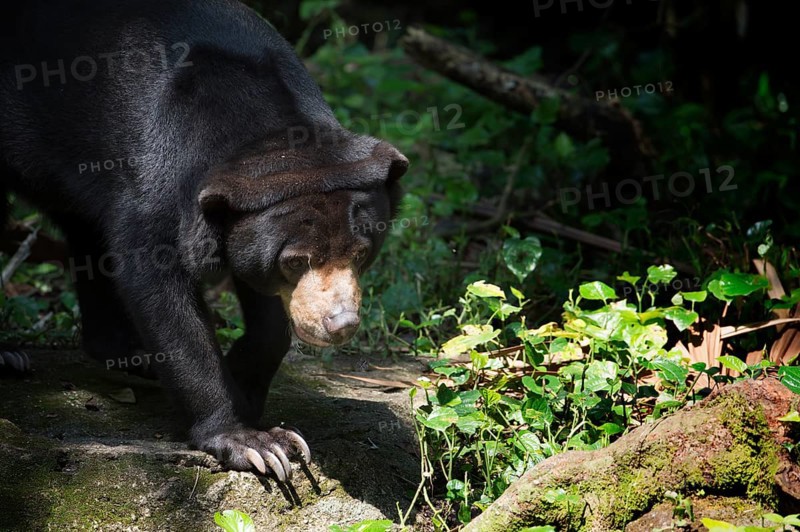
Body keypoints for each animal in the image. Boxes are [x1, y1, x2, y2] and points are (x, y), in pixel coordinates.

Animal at [0, 0, 407, 481]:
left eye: (361, 253)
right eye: (295, 260)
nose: (341, 325)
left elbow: (263, 306)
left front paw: (247, 388)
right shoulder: (156, 180)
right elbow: (159, 288)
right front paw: (255, 443)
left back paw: (129, 354)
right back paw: (10, 357)